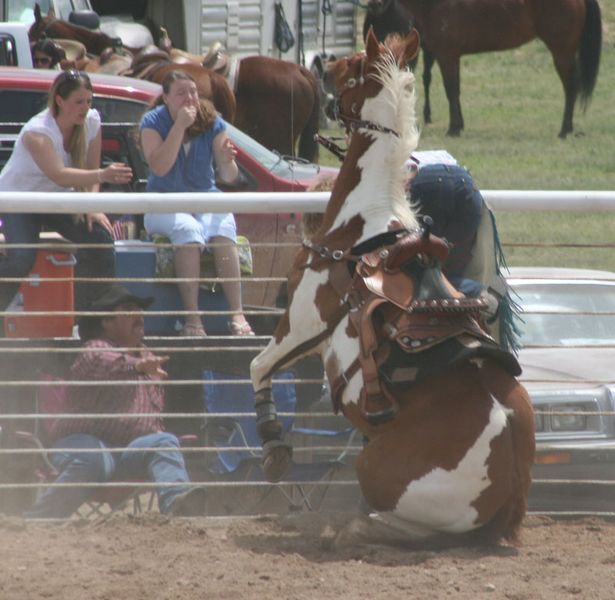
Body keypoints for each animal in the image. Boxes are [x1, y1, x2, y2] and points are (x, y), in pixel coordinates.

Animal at [250, 30, 536, 548]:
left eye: (351, 62)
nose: (320, 68)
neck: (361, 224)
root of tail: (510, 483)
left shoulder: (303, 323)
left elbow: (258, 367)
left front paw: (275, 447)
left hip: (376, 468)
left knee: (400, 524)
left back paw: (356, 526)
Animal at [368, 0, 604, 137]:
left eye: (378, 18)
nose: (374, 5)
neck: (437, 4)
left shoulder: (447, 55)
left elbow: (451, 90)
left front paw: (454, 128)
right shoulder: (450, 56)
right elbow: (456, 91)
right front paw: (459, 125)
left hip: (561, 52)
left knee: (570, 87)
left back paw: (564, 129)